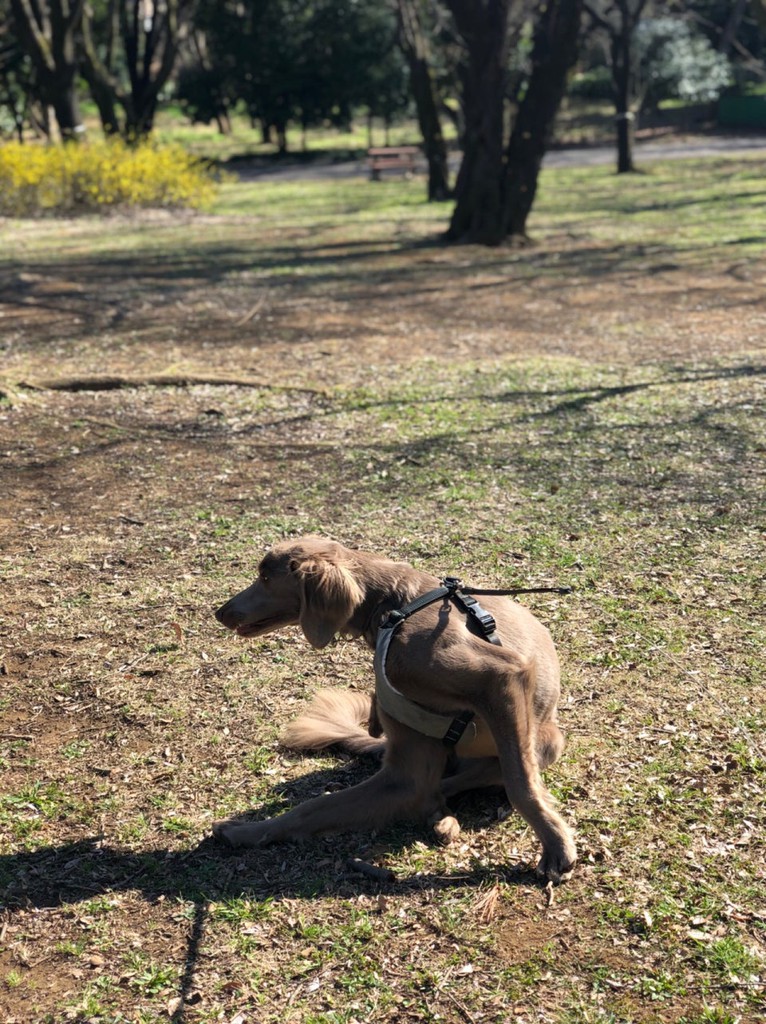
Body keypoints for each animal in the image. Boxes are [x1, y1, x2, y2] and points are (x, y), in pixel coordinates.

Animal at [214, 536, 573, 880]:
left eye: (264, 578)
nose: (220, 612)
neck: (391, 609)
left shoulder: (501, 676)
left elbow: (519, 783)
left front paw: (555, 844)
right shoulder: (406, 771)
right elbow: (312, 807)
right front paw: (247, 831)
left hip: (548, 740)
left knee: (474, 778)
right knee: (435, 791)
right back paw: (440, 818)